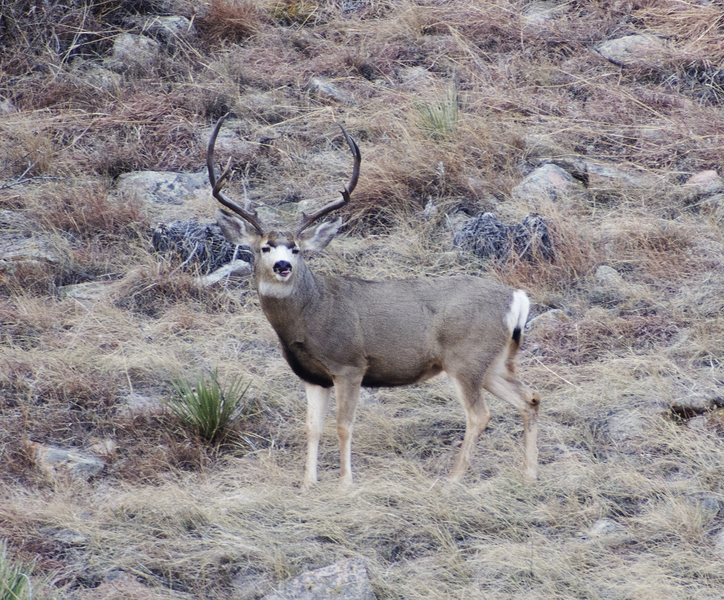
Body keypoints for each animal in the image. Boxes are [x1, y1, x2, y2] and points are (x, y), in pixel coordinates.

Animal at [206, 115, 540, 490]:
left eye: (296, 248)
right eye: (264, 247)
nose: (282, 266)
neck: (311, 315)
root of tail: (517, 297)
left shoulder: (350, 364)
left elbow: (343, 425)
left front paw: (345, 483)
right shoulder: (313, 376)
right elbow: (312, 428)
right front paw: (308, 483)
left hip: (465, 357)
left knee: (479, 414)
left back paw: (452, 480)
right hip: (494, 362)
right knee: (530, 398)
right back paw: (529, 474)